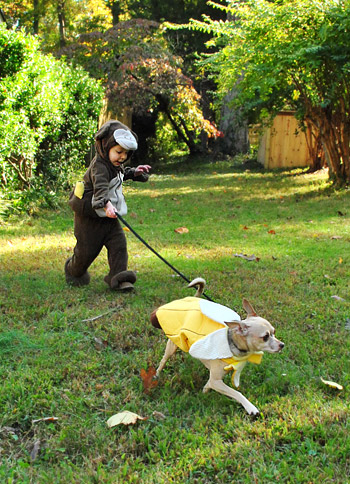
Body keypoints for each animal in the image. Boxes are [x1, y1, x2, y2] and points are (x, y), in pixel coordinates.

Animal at [150, 278, 284, 418]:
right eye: (265, 337)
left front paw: (204, 393)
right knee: (163, 361)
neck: (233, 344)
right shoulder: (216, 381)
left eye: (274, 332)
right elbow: (236, 393)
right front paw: (250, 407)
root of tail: (194, 298)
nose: (282, 345)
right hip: (172, 345)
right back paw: (157, 375)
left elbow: (208, 385)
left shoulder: (214, 380)